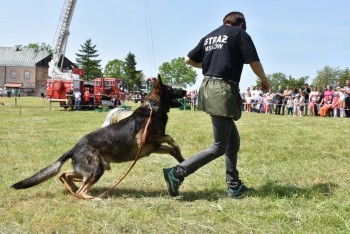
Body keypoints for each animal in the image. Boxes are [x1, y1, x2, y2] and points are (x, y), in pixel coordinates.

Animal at [11, 75, 186, 199]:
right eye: (172, 89)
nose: (185, 90)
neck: (153, 108)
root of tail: (74, 148)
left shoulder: (153, 146)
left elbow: (170, 147)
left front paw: (181, 158)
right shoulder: (145, 140)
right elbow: (170, 138)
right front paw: (178, 150)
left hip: (93, 169)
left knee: (65, 174)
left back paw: (73, 187)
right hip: (96, 169)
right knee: (81, 190)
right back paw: (91, 197)